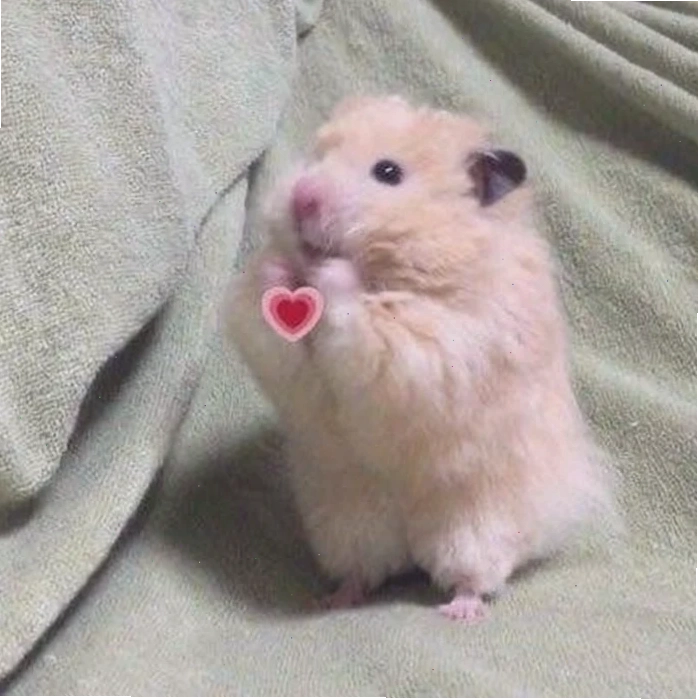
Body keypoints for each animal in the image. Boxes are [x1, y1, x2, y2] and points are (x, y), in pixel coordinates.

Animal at [225, 95, 614, 621]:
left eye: (388, 172)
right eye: (317, 155)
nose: (302, 196)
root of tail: (410, 541)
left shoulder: (438, 347)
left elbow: (366, 318)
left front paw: (331, 272)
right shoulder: (274, 350)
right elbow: (268, 319)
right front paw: (278, 268)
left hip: (475, 523)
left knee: (475, 574)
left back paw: (460, 611)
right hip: (348, 519)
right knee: (364, 569)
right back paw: (334, 598)